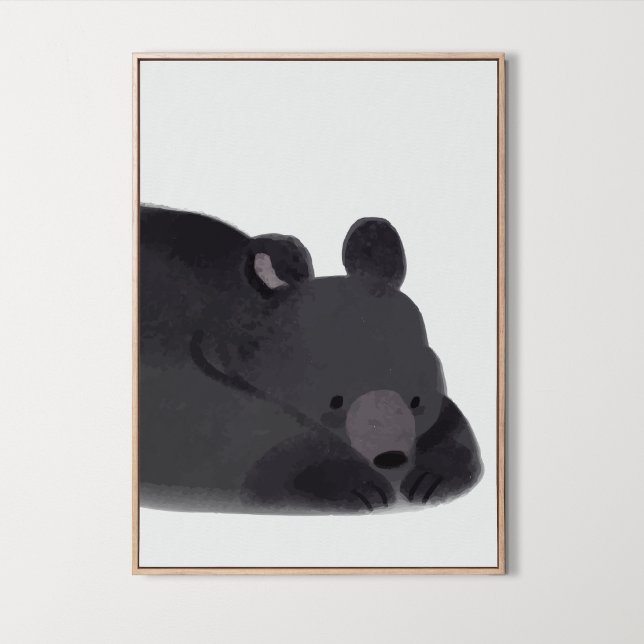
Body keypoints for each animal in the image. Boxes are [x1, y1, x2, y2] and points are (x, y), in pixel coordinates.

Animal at [139, 204, 482, 514]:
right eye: (335, 400)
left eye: (416, 400)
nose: (391, 457)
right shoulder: (176, 382)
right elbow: (232, 439)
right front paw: (357, 484)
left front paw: (430, 477)